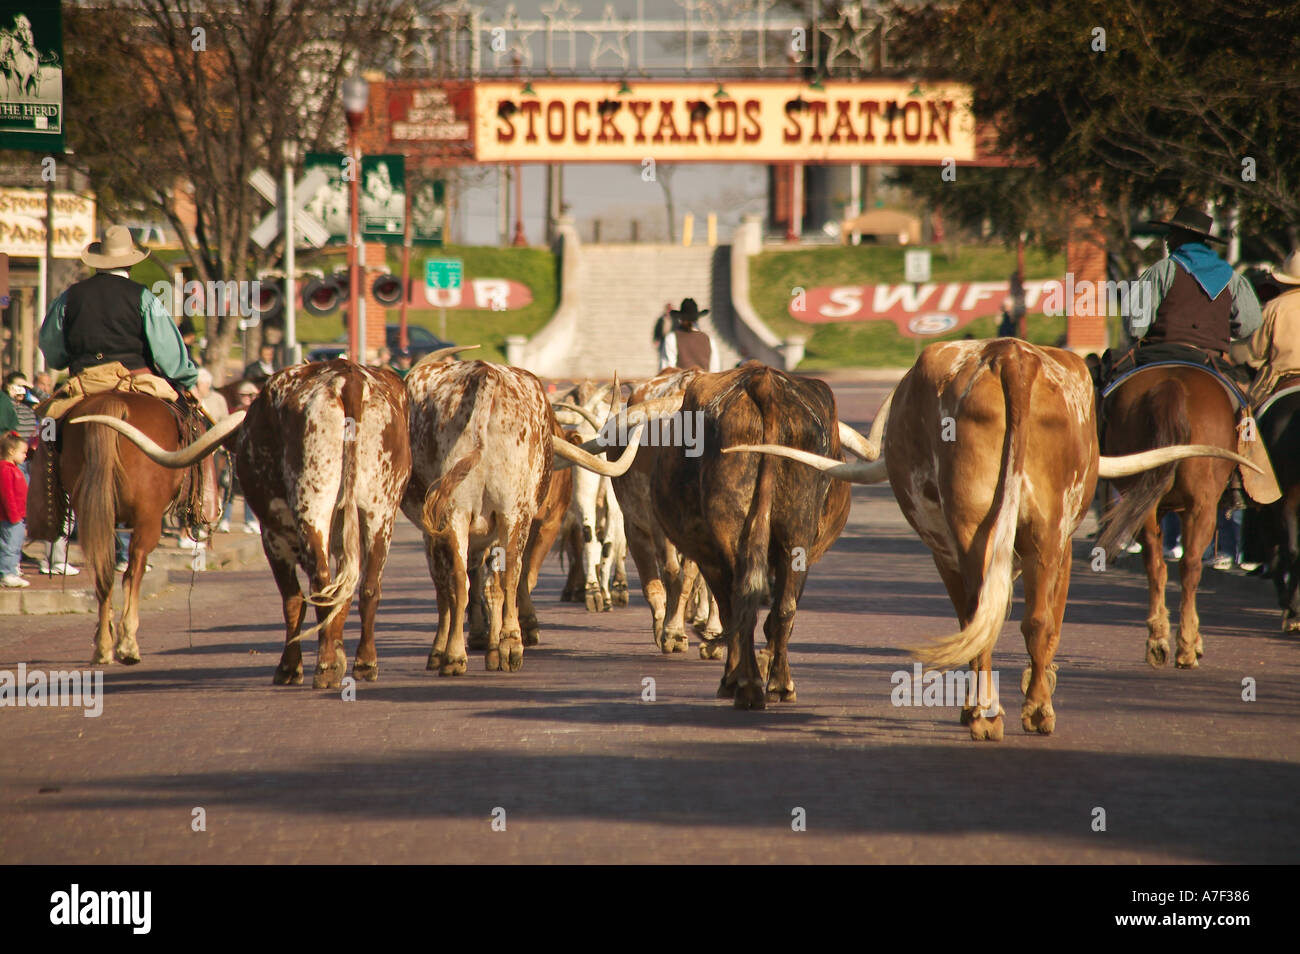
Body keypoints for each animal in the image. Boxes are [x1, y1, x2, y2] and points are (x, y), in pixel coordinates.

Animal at [80, 359, 412, 688]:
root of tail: (347, 379)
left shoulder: (272, 535)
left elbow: (293, 600)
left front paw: (290, 668)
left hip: (312, 506)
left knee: (321, 582)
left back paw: (326, 667)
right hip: (380, 510)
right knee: (368, 587)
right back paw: (364, 663)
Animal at [729, 339, 1258, 738]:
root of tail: (1011, 355)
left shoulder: (958, 549)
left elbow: (982, 615)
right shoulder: (1055, 544)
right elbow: (1031, 618)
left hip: (981, 530)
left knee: (991, 614)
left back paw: (990, 712)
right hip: (1042, 531)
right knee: (1034, 618)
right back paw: (1026, 710)